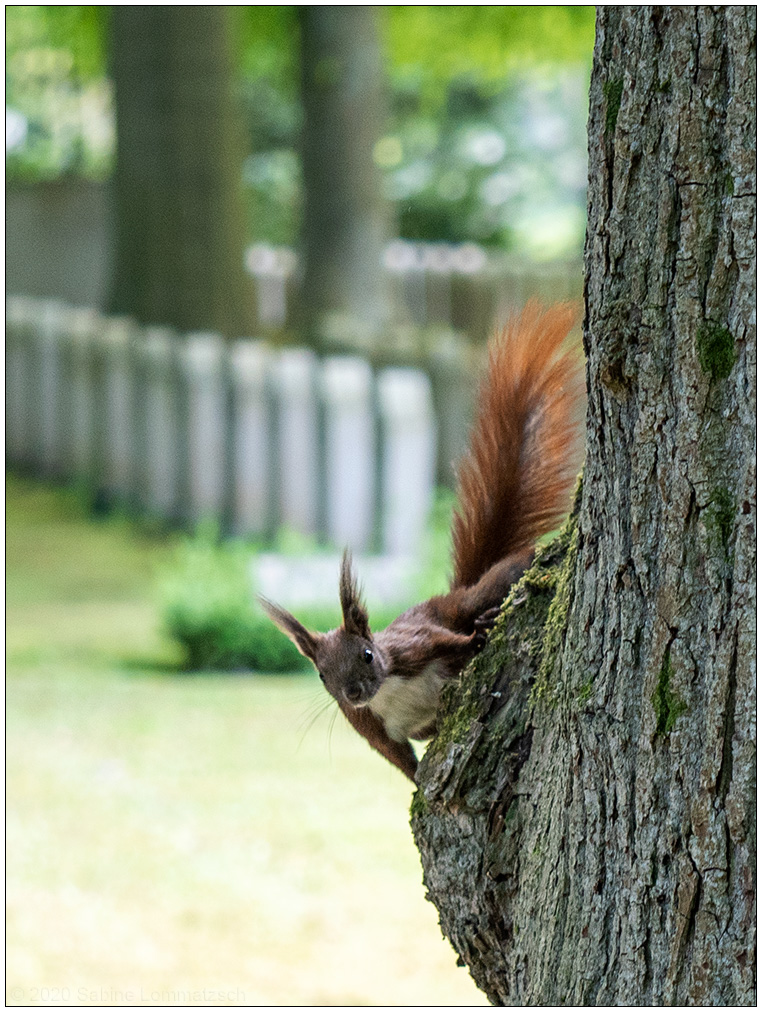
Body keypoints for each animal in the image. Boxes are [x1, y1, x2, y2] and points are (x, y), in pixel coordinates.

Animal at [261, 300, 584, 782]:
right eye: (320, 675)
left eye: (368, 654)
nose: (353, 692)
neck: (385, 691)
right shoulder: (371, 728)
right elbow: (400, 760)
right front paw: (418, 784)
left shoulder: (416, 645)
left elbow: (449, 643)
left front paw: (475, 638)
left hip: (464, 601)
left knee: (486, 591)